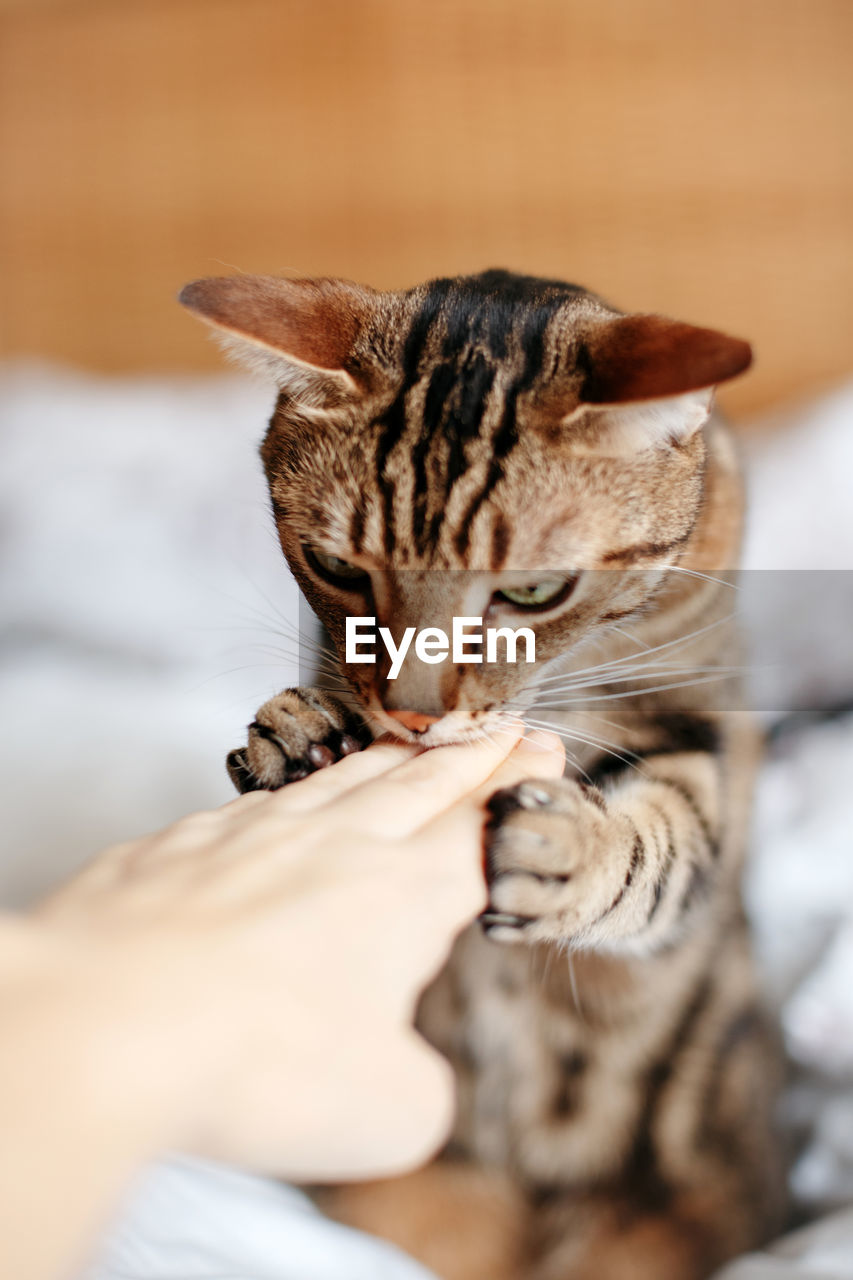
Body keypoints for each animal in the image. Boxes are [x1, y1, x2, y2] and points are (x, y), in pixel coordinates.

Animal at [179, 272, 783, 1280]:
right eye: (336, 566)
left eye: (534, 592)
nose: (415, 716)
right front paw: (300, 736)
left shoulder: (701, 743)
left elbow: (661, 848)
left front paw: (570, 851)